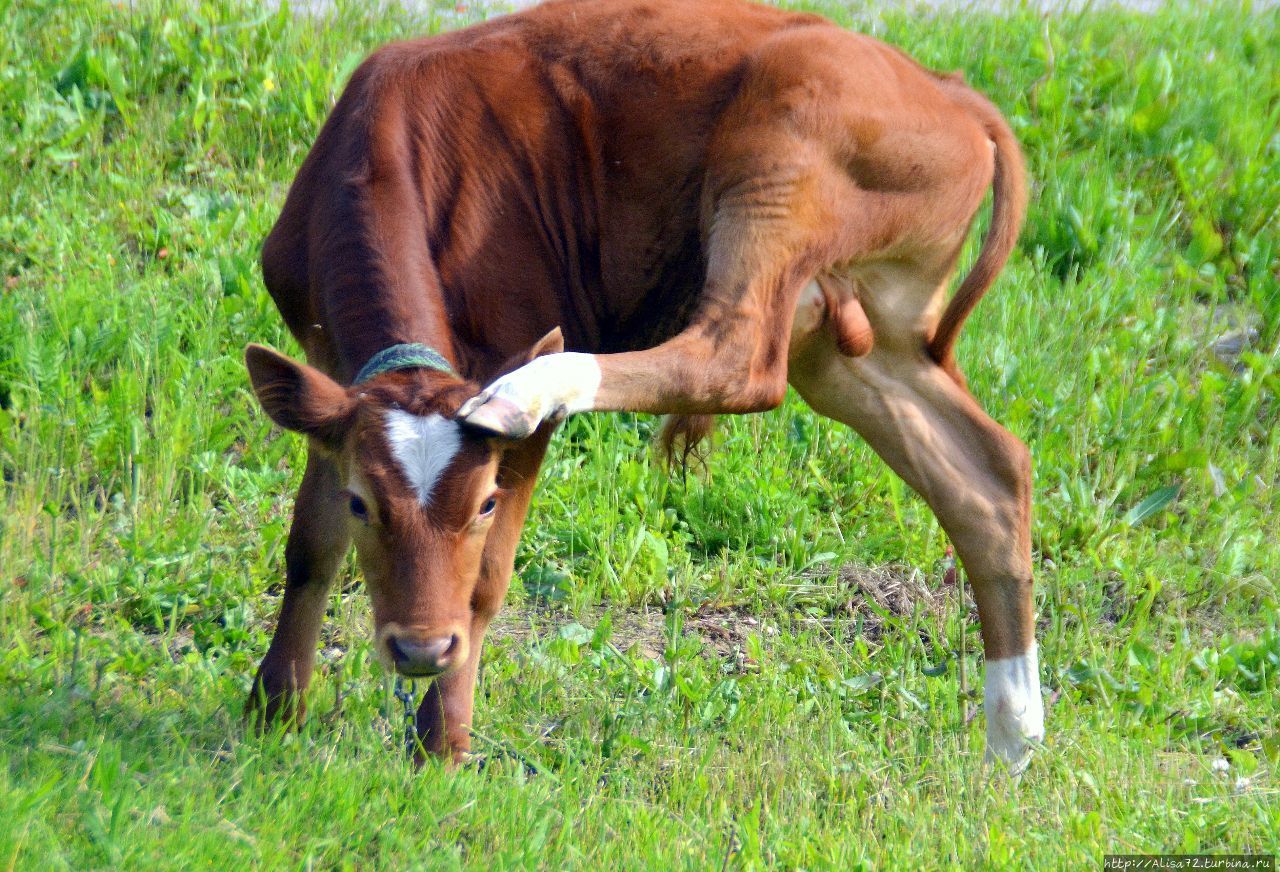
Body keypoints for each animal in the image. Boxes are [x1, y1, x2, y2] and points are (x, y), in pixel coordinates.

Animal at [244, 0, 1044, 773]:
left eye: (485, 503)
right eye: (363, 502)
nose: (420, 649)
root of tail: (950, 89)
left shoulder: (513, 383)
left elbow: (485, 580)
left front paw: (441, 745)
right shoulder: (330, 378)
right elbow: (310, 545)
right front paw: (273, 712)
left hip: (780, 161)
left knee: (737, 356)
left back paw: (533, 388)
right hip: (859, 335)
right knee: (988, 476)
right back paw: (1013, 740)